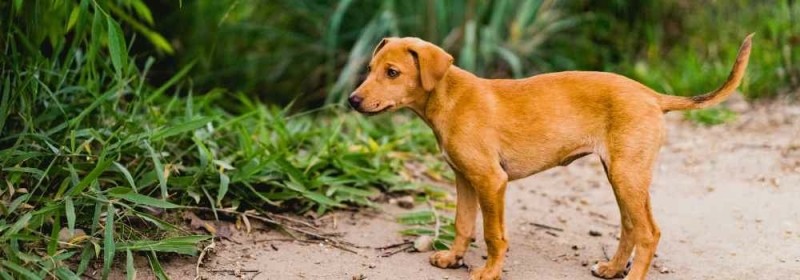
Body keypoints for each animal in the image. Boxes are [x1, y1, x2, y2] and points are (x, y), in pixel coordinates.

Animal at [348, 33, 752, 280]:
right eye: (369, 70)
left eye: (393, 72)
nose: (352, 100)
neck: (448, 97)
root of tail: (653, 95)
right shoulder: (464, 178)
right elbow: (463, 224)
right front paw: (452, 258)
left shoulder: (491, 182)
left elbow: (493, 234)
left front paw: (489, 271)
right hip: (623, 175)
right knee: (631, 227)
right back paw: (612, 268)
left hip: (627, 175)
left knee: (649, 232)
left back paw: (633, 274)